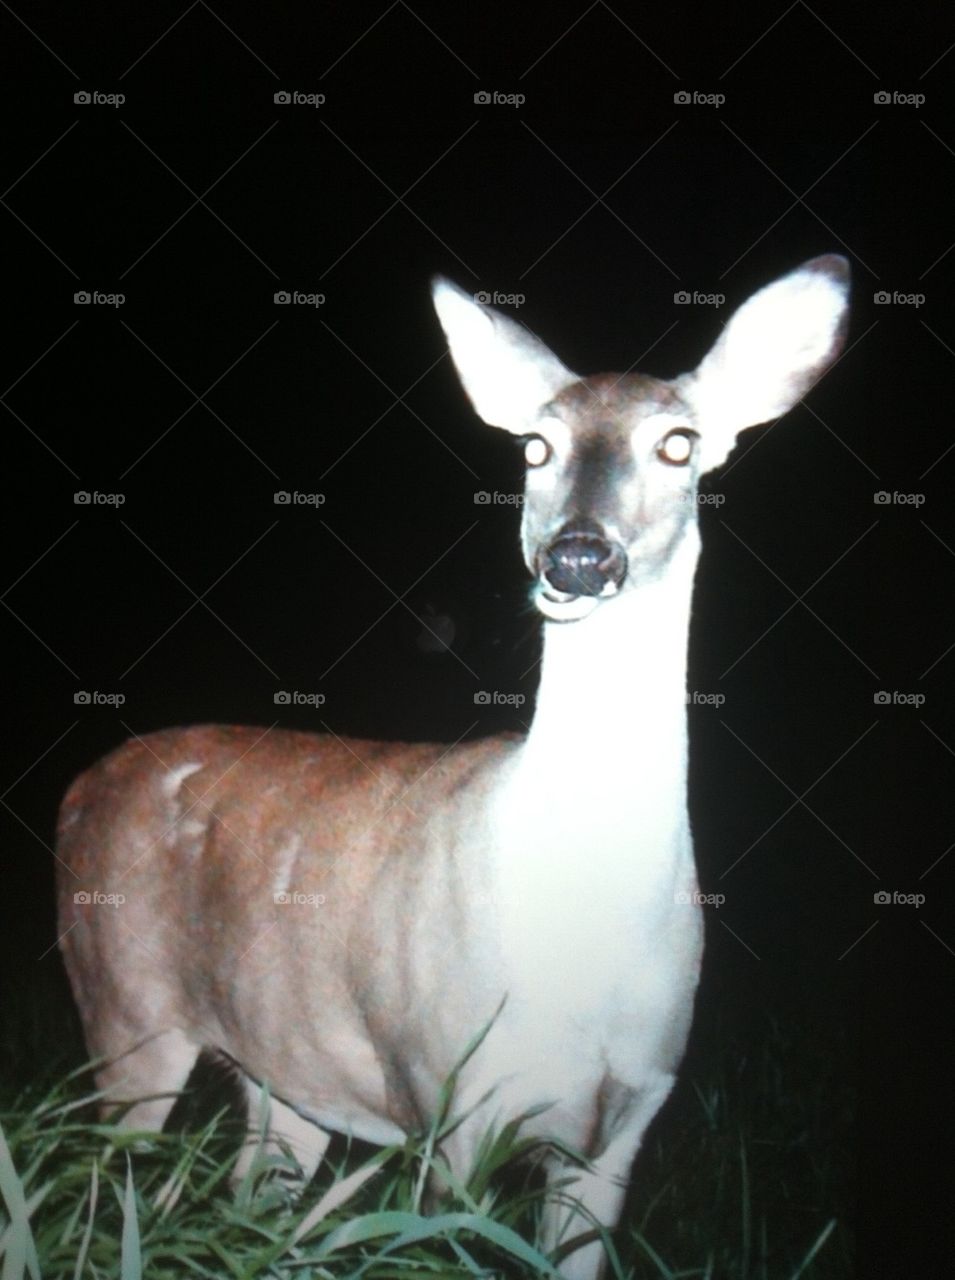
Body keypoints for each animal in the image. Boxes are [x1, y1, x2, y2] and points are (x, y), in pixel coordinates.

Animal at [56, 254, 849, 1278]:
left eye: (680, 444)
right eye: (535, 448)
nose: (577, 557)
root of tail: (81, 785)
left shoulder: (627, 1122)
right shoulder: (447, 1097)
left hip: (285, 1072)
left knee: (248, 1195)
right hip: (124, 1005)